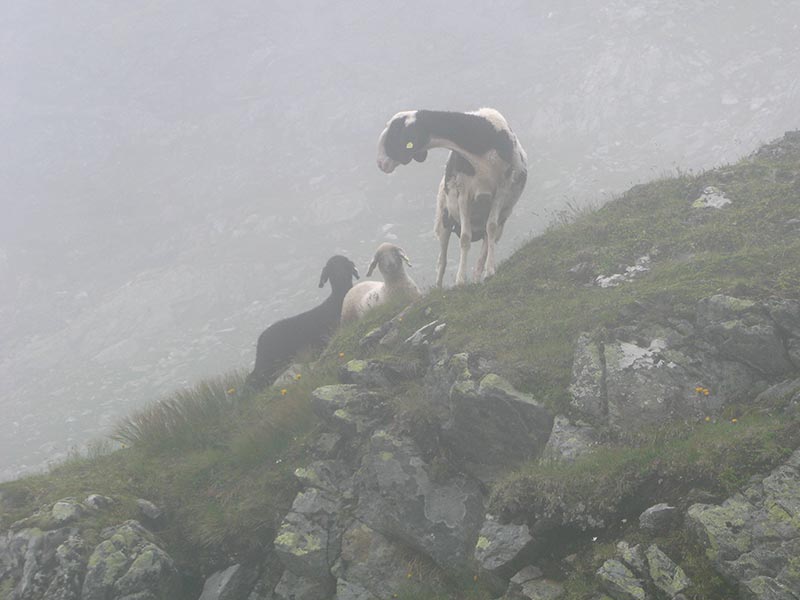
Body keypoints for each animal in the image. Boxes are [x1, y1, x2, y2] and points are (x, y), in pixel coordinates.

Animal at [242, 254, 358, 392]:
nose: (341, 275)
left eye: (345, 263)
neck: (338, 298)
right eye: (331, 269)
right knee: (254, 380)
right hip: (268, 363)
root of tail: (260, 340)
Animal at [376, 108, 528, 286]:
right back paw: (439, 287)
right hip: (444, 221)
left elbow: (490, 228)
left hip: (502, 219)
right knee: (442, 260)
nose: (380, 163)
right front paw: (460, 280)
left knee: (486, 242)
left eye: (395, 132)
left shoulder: (502, 190)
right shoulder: (463, 193)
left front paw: (490, 271)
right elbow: (465, 238)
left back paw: (477, 277)